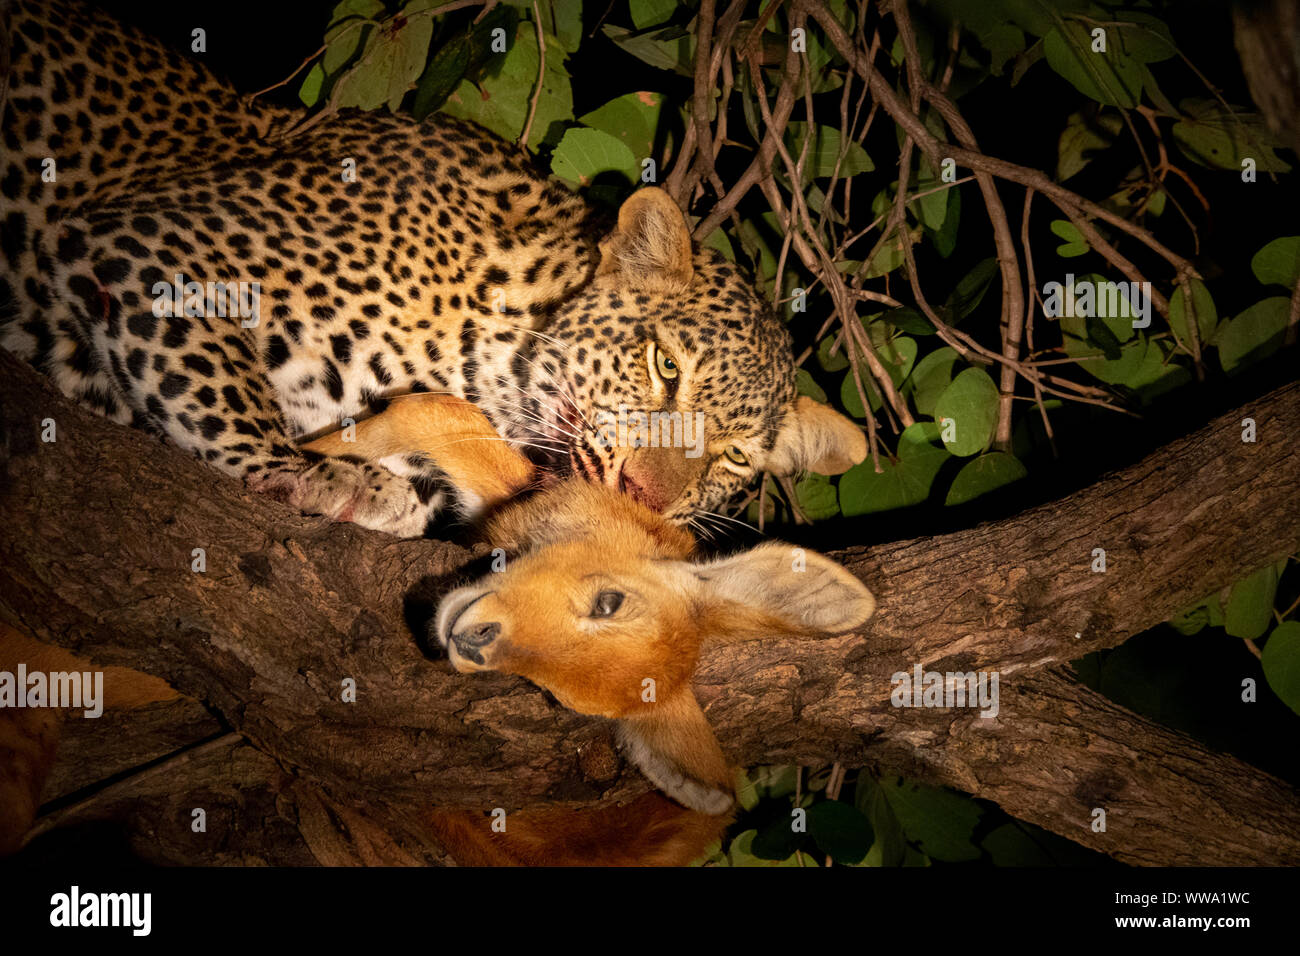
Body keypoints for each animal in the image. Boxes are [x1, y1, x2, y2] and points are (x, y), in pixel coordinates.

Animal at [5, 0, 868, 538]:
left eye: (735, 458)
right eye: (664, 369)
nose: (640, 497)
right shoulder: (154, 241)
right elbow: (218, 385)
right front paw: (297, 470)